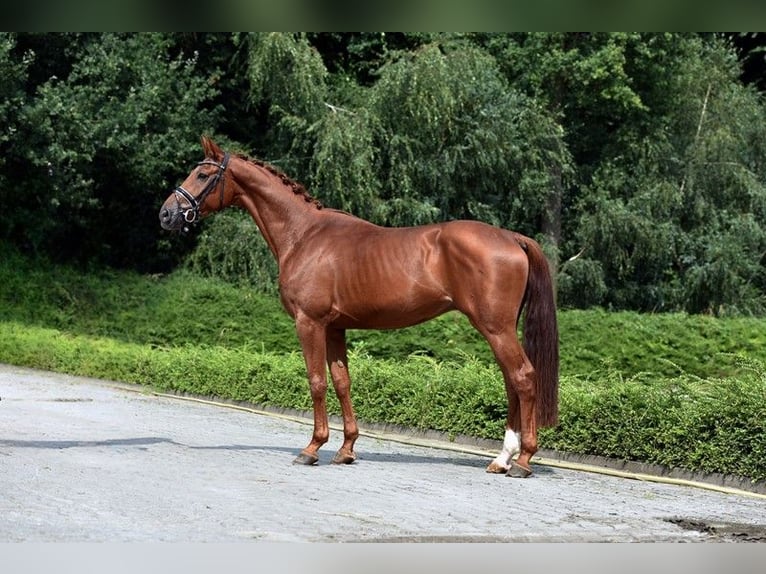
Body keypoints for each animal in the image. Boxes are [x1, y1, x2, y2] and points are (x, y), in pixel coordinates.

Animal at [162, 137, 560, 480]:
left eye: (203, 174)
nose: (167, 214)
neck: (304, 235)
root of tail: (512, 238)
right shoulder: (335, 327)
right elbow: (342, 382)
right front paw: (346, 449)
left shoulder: (310, 323)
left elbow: (317, 382)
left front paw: (312, 448)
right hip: (499, 328)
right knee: (511, 380)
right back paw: (502, 458)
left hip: (495, 327)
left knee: (523, 377)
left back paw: (522, 460)